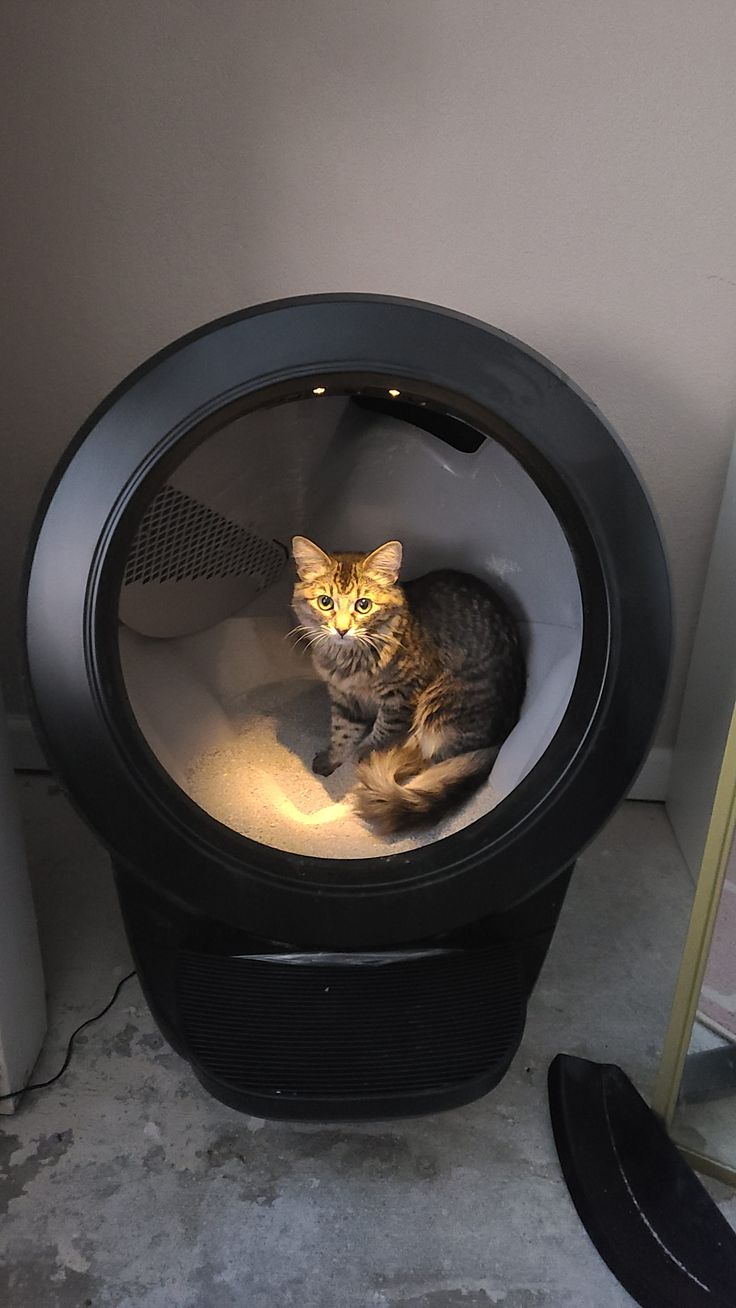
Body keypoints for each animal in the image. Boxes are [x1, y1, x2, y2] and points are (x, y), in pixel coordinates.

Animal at [291, 536, 528, 831]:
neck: (349, 660)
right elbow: (342, 734)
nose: (342, 630)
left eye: (363, 605)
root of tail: (504, 734)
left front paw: (359, 763)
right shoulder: (344, 697)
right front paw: (333, 762)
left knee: (427, 758)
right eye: (325, 602)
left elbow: (379, 735)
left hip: (438, 707)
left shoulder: (401, 697)